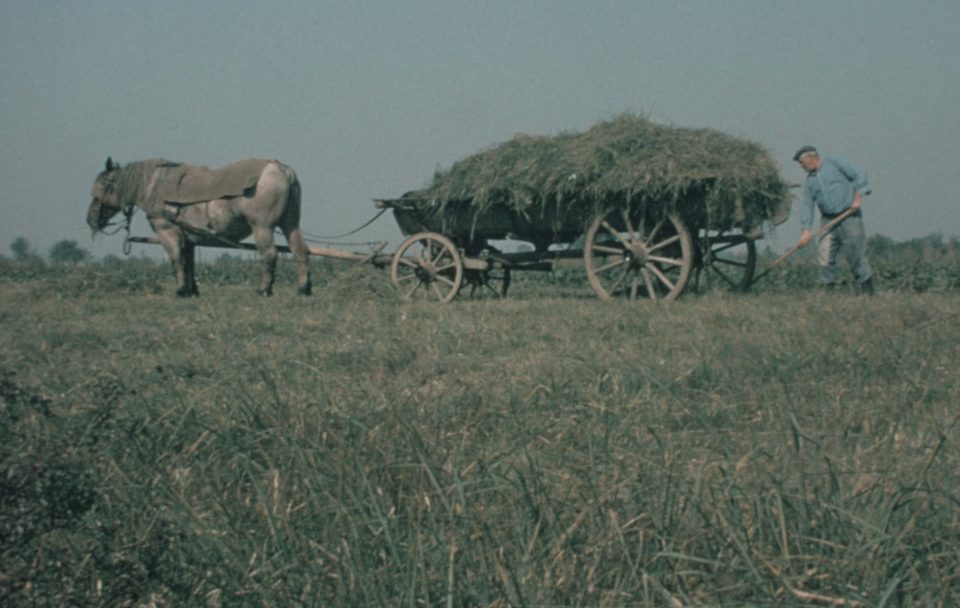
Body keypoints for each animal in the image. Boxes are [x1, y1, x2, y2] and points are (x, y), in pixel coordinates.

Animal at [86, 158, 312, 298]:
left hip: (262, 227)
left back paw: (264, 289)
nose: (90, 219)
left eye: (103, 186)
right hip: (290, 224)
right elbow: (189, 263)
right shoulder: (188, 238)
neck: (155, 186)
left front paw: (180, 290)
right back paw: (303, 288)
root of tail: (281, 169)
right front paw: (191, 290)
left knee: (269, 254)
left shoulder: (168, 233)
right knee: (299, 250)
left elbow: (177, 260)